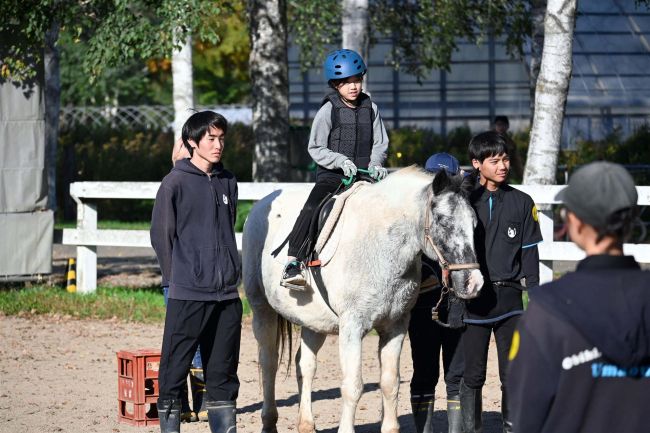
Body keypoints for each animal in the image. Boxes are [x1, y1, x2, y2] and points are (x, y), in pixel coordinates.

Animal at [242, 166, 484, 433]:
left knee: (305, 364)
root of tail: (261, 203)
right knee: (269, 362)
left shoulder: (396, 326)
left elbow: (390, 382)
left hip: (314, 321)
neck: (381, 245)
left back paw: (306, 424)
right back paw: (269, 421)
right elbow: (353, 385)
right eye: (442, 221)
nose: (473, 282)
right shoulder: (352, 327)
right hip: (262, 310)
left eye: (473, 224)